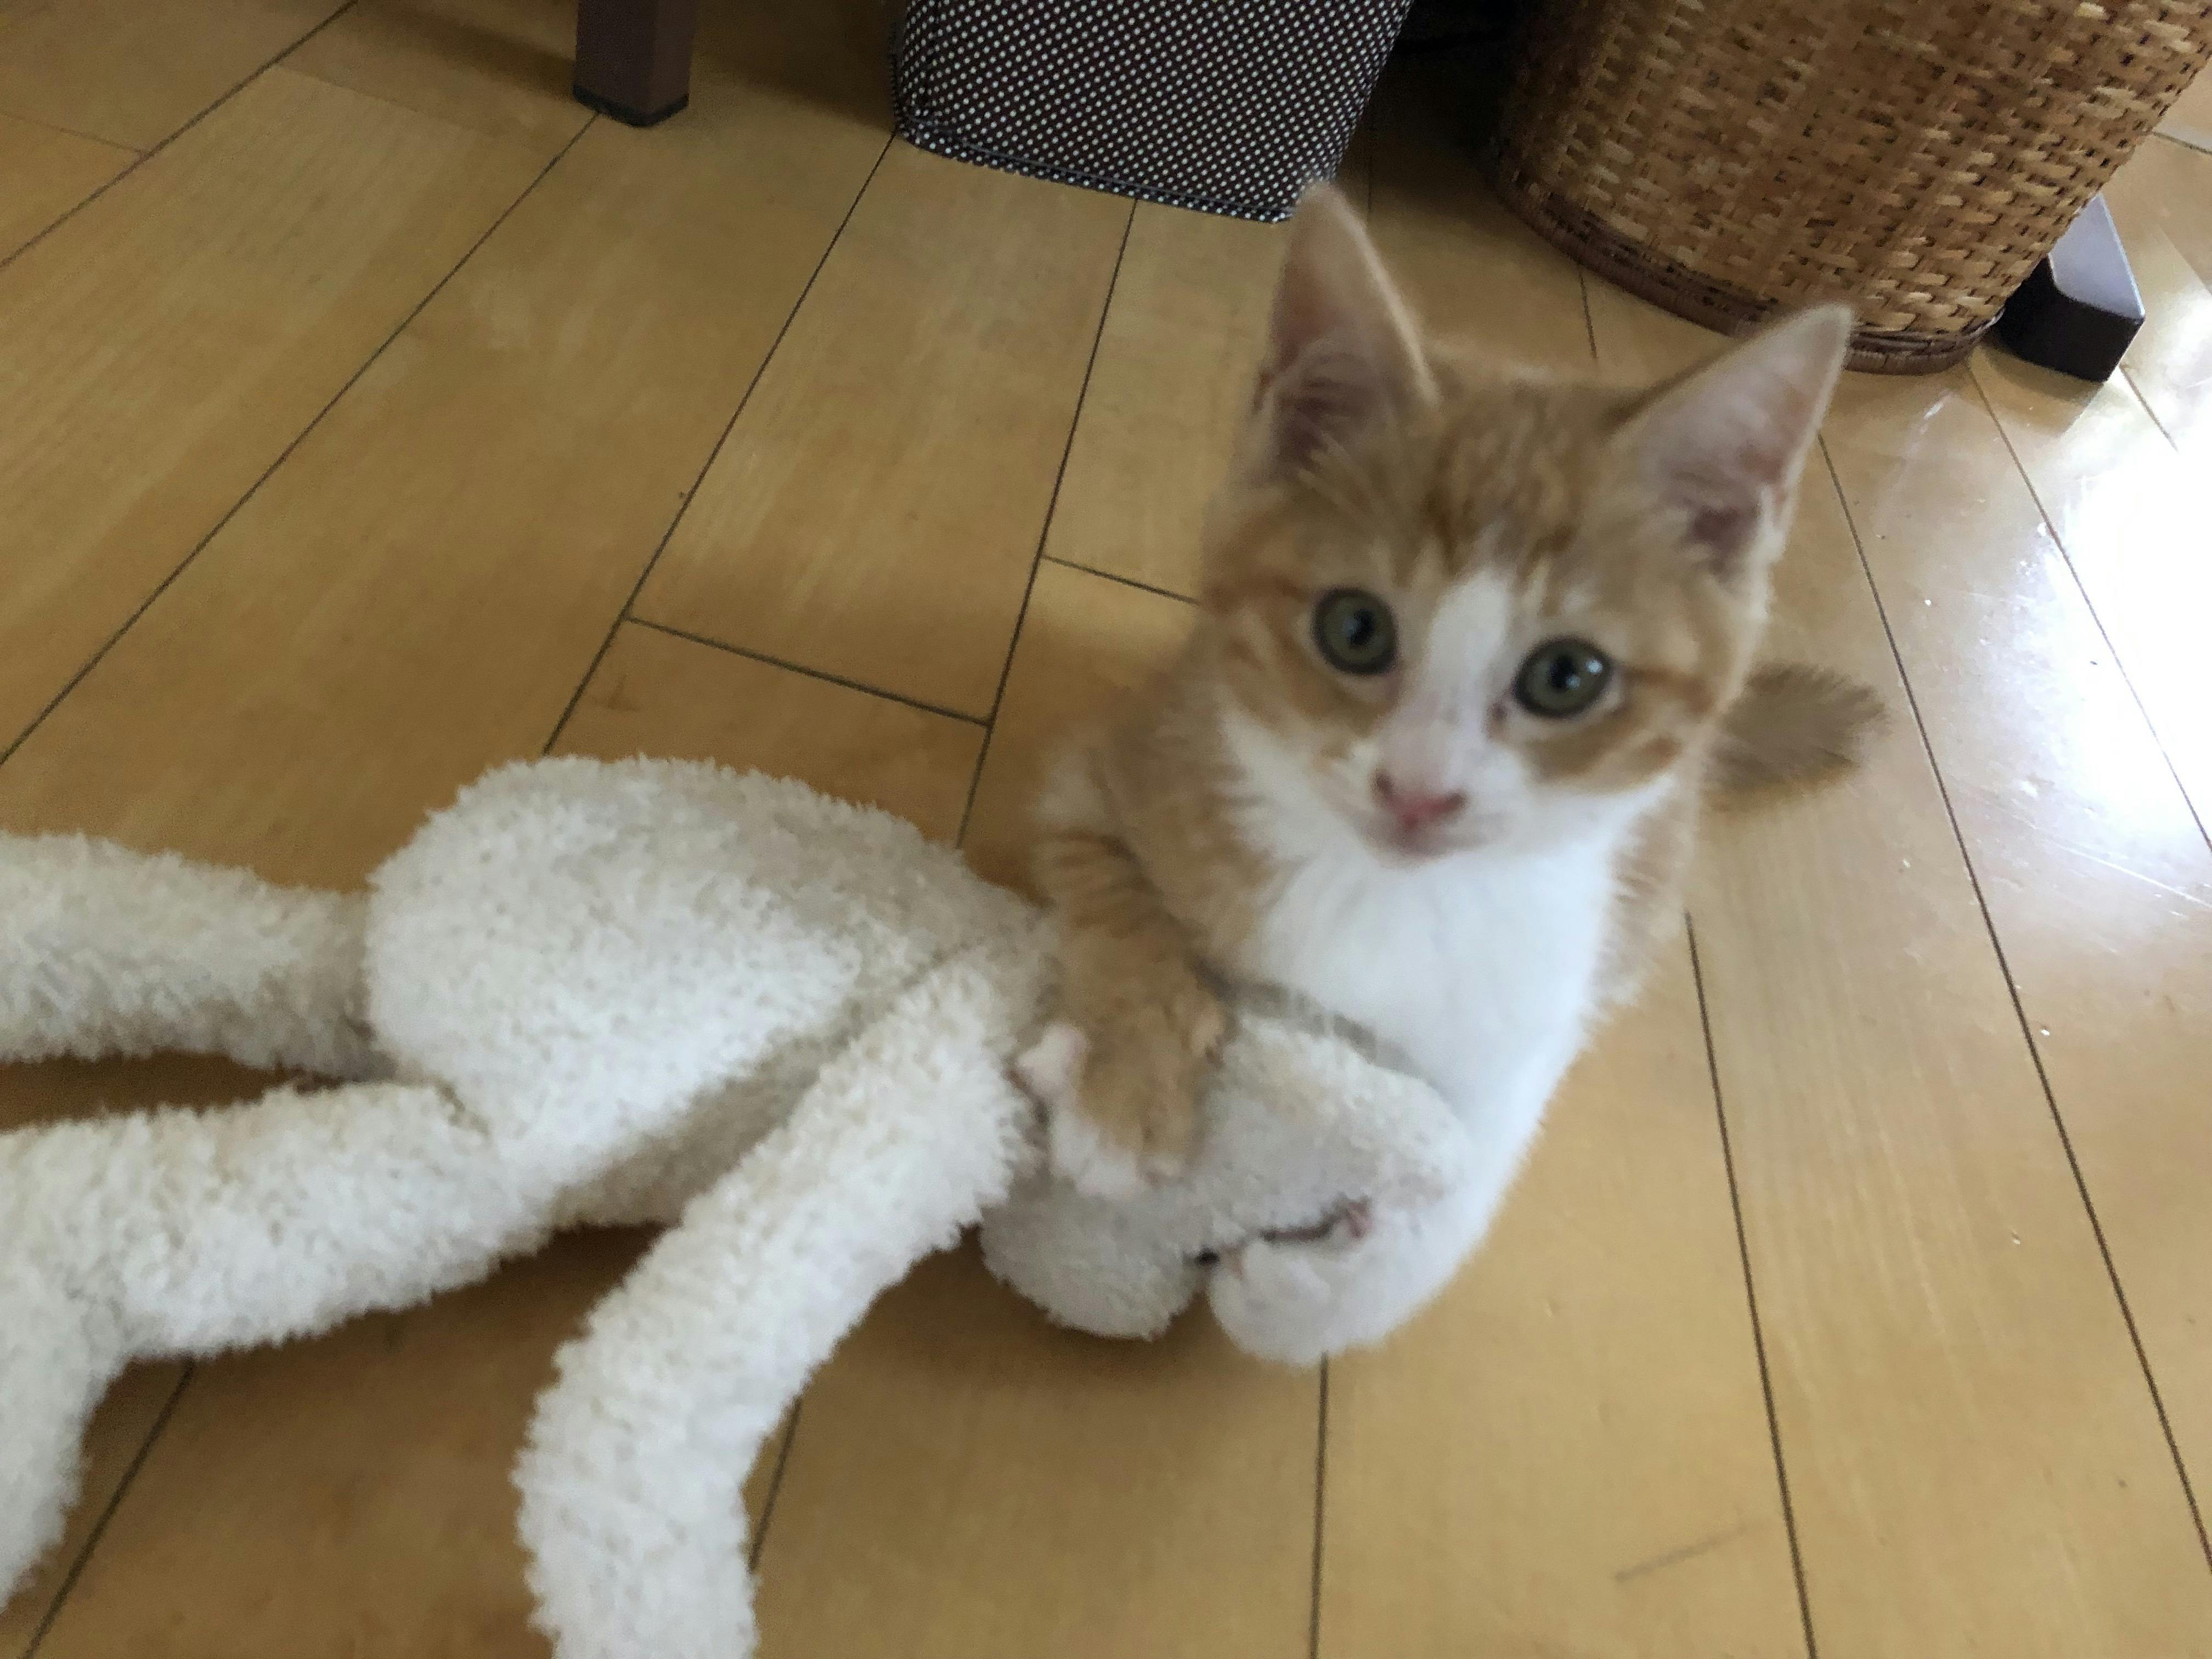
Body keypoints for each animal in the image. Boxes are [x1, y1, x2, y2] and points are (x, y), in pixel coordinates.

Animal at [1016, 183, 1880, 1236]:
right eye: (1354, 628)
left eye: (1567, 677)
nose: (1419, 793)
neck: (1385, 893)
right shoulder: (1118, 763)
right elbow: (1118, 897)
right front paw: (1127, 1089)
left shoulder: (1513, 1034)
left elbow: (1449, 1152)